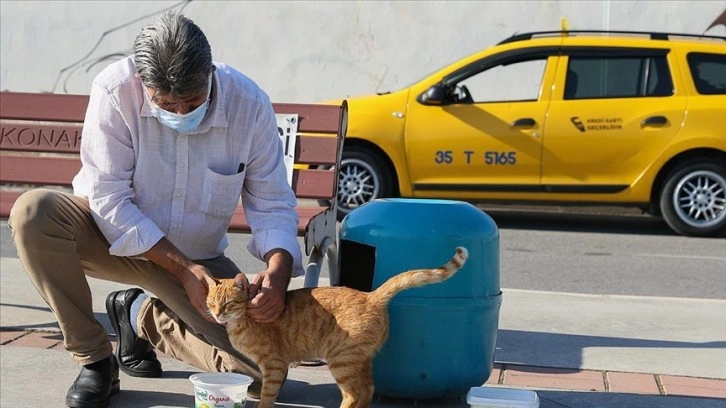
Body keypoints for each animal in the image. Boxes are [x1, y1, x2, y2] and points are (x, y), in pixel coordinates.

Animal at [208, 245, 470, 408]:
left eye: (228, 304)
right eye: (211, 303)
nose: (217, 314)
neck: (242, 320)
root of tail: (371, 296)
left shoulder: (273, 365)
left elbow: (267, 396)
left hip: (341, 360)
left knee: (353, 394)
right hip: (359, 361)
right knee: (368, 390)